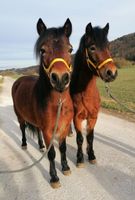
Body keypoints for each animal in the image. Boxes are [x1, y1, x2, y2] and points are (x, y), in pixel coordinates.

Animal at [12, 18, 73, 188]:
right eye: (42, 50)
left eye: (70, 49)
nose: (60, 79)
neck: (58, 103)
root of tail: (19, 81)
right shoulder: (48, 131)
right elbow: (52, 153)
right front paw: (54, 178)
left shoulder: (64, 127)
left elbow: (63, 148)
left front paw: (65, 168)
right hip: (20, 116)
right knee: (22, 128)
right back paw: (24, 144)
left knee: (36, 130)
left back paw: (40, 146)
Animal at [70, 22, 117, 167]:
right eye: (92, 48)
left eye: (108, 46)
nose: (112, 73)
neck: (85, 94)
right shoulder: (77, 118)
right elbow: (80, 138)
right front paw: (80, 158)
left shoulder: (93, 117)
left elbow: (90, 137)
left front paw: (91, 155)